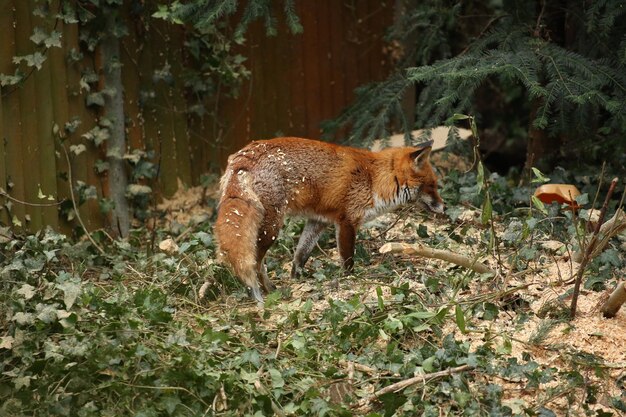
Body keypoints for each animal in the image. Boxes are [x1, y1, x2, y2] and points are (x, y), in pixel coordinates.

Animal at [214, 137, 444, 302]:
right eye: (432, 186)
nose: (444, 207)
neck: (373, 179)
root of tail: (245, 154)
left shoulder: (318, 221)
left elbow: (300, 255)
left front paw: (298, 279)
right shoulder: (347, 221)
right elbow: (348, 259)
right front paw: (350, 280)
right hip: (270, 228)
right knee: (256, 263)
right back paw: (267, 291)